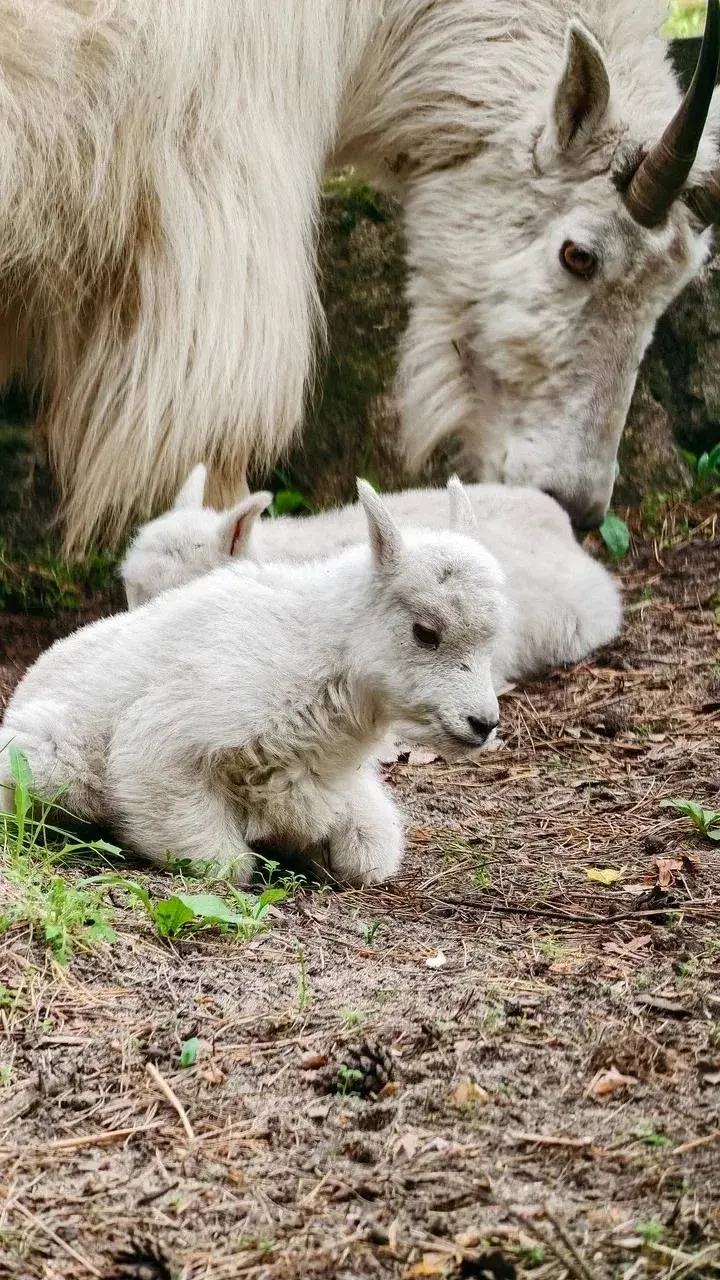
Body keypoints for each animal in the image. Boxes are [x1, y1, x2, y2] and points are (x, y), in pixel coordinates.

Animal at [1, 484, 507, 886]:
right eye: (425, 632)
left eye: (493, 639)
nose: (483, 724)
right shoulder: (162, 746)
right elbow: (223, 862)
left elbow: (367, 855)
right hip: (49, 756)